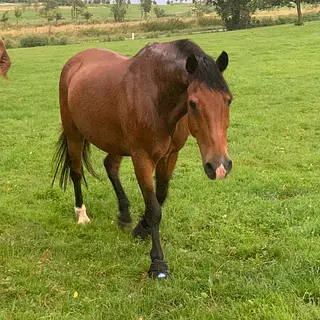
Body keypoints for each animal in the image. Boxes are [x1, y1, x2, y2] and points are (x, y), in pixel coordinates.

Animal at [52, 39, 232, 280]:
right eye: (193, 103)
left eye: (228, 100)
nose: (219, 166)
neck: (158, 96)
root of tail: (75, 61)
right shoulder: (142, 158)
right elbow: (154, 208)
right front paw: (158, 263)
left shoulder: (170, 156)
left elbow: (160, 197)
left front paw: (141, 228)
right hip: (74, 134)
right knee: (76, 172)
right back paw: (81, 214)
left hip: (116, 141)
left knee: (110, 166)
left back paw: (124, 214)